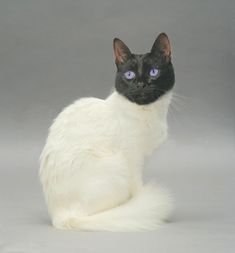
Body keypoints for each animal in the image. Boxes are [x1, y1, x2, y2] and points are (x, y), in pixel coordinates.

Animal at [39, 33, 174, 231]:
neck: (148, 113)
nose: (141, 84)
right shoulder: (133, 161)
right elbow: (138, 191)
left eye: (153, 72)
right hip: (117, 167)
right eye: (129, 75)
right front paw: (141, 203)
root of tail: (60, 217)